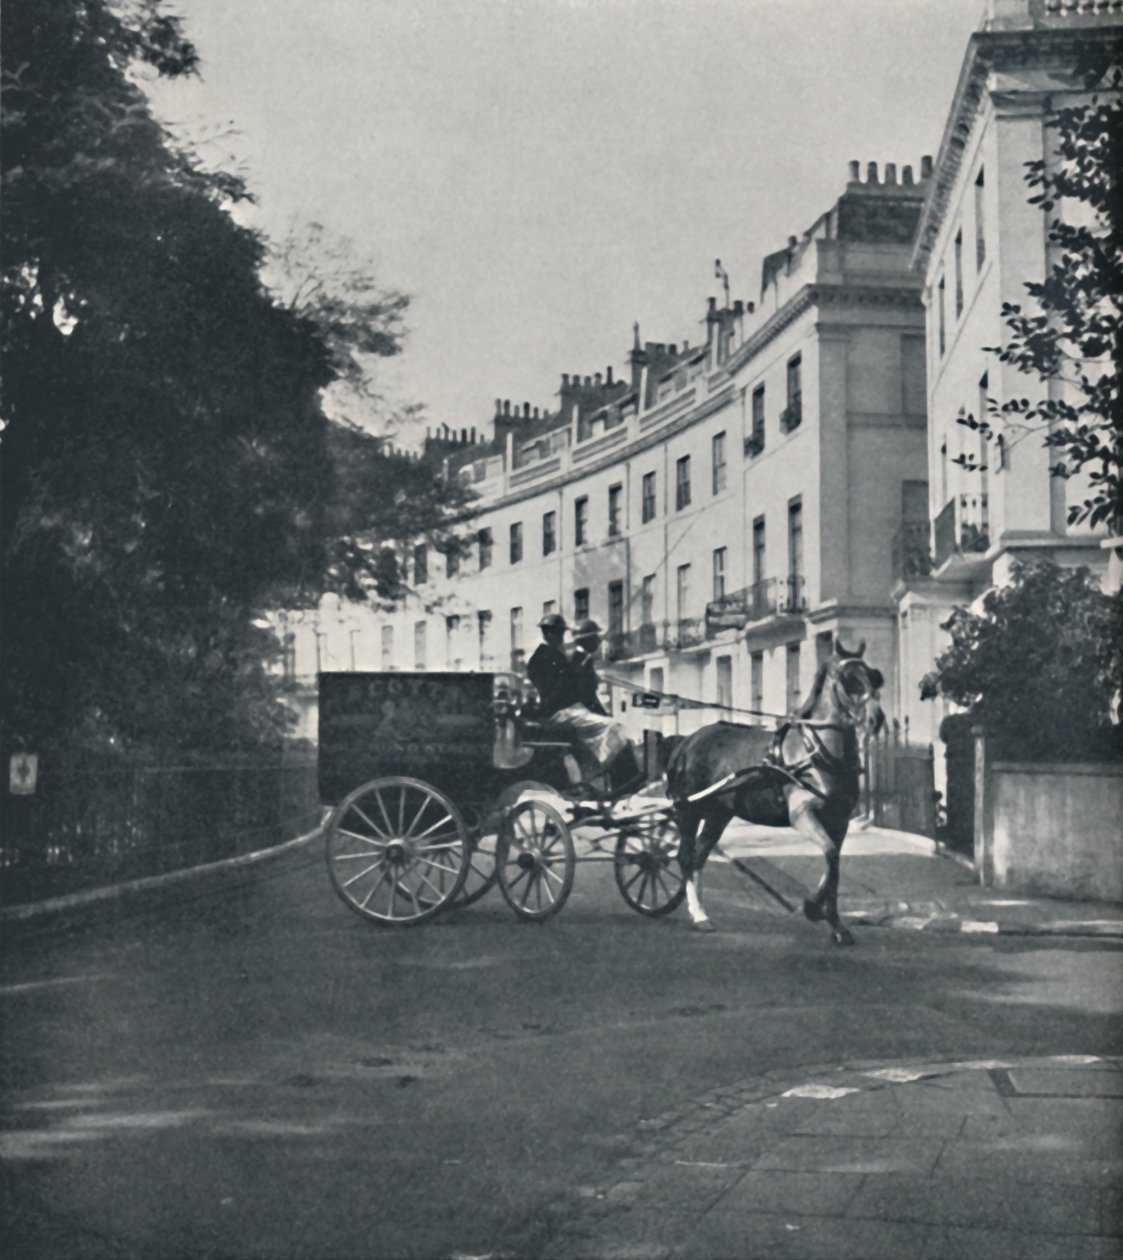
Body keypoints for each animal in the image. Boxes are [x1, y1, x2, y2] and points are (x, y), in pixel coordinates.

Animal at [665, 640, 887, 947]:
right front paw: (813, 908)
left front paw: (835, 923)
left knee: (699, 856)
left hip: (718, 814)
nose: (876, 720)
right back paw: (697, 914)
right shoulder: (801, 814)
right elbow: (830, 854)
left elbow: (834, 864)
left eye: (875, 676)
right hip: (690, 811)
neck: (815, 752)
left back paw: (701, 913)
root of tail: (689, 740)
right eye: (847, 679)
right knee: (686, 857)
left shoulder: (839, 820)